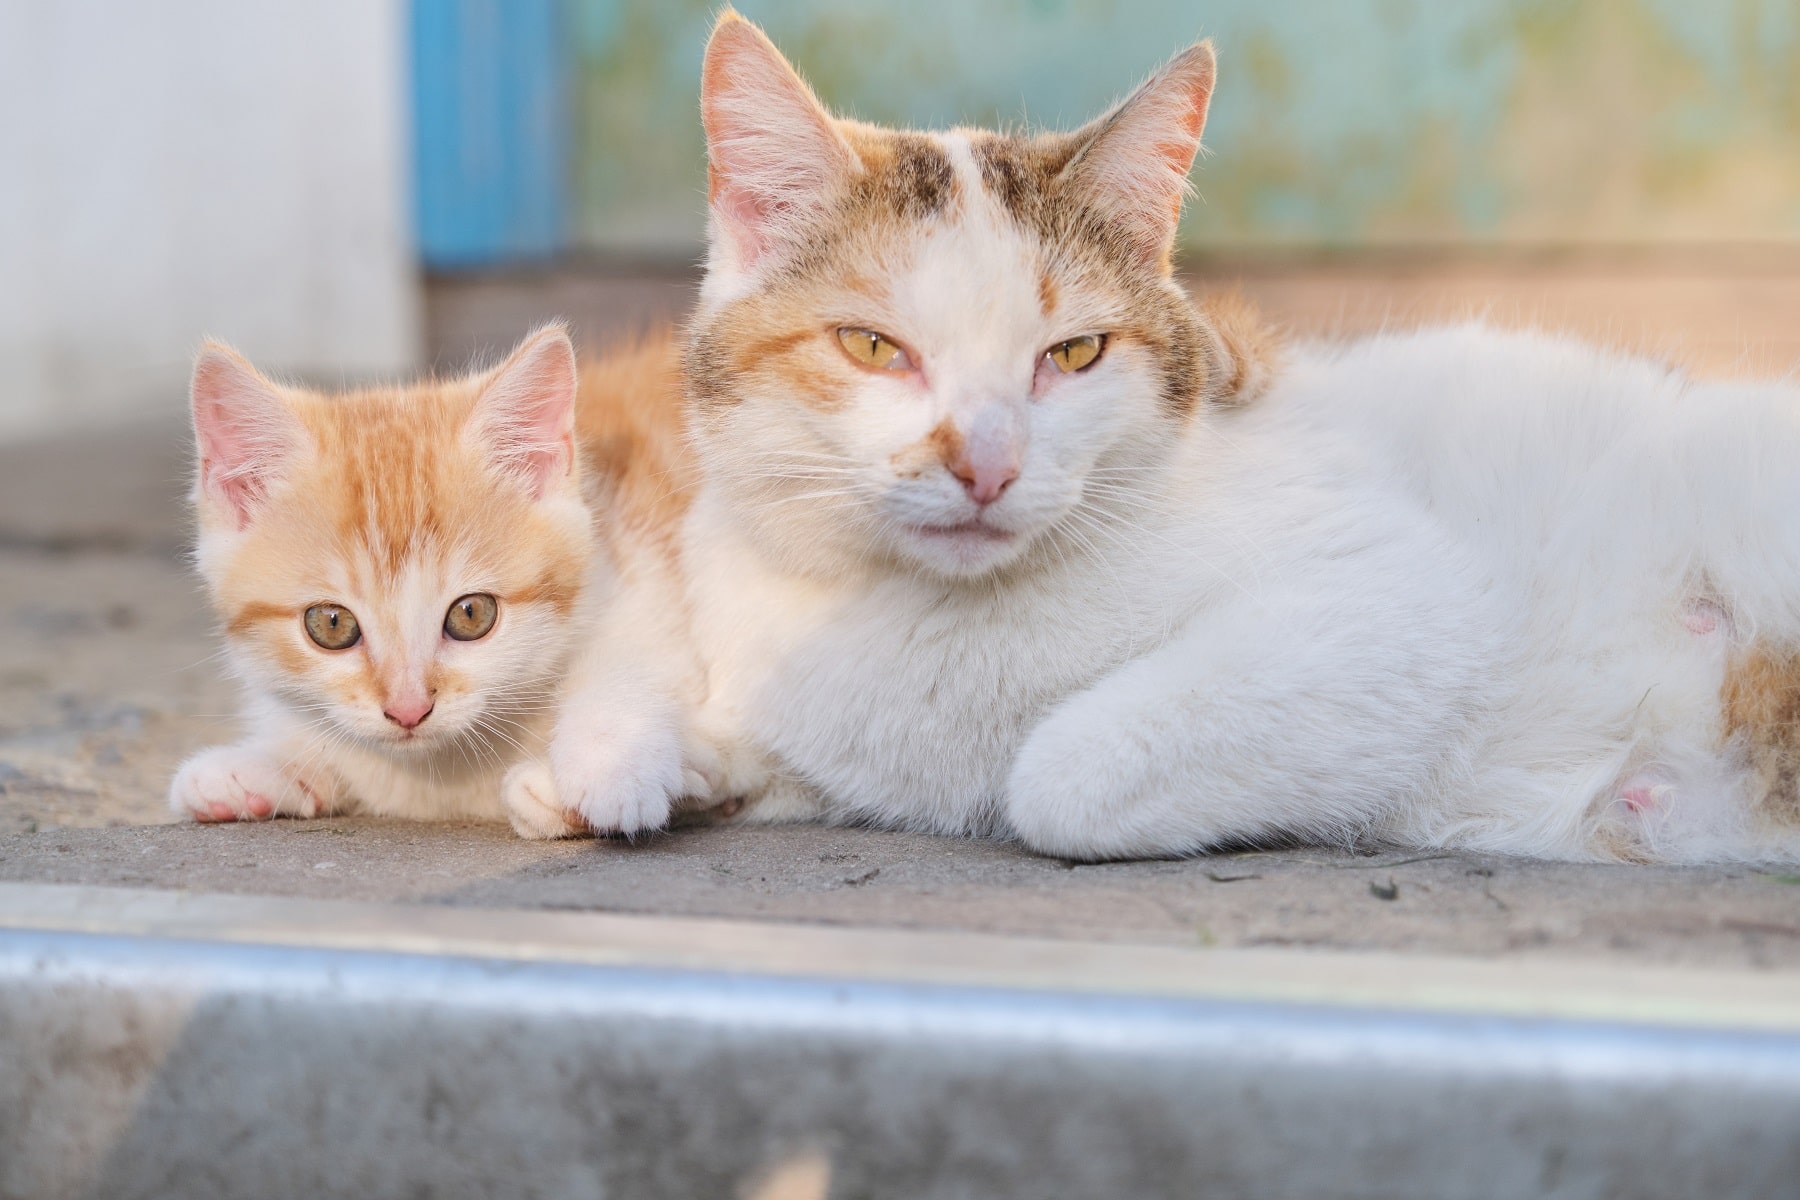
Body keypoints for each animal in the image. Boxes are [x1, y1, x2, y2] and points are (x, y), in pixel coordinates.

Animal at [536, 16, 1800, 863]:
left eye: (1076, 355)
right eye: (871, 345)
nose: (984, 462)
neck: (915, 626)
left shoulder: (1400, 599)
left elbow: (1056, 776)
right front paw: (623, 767)